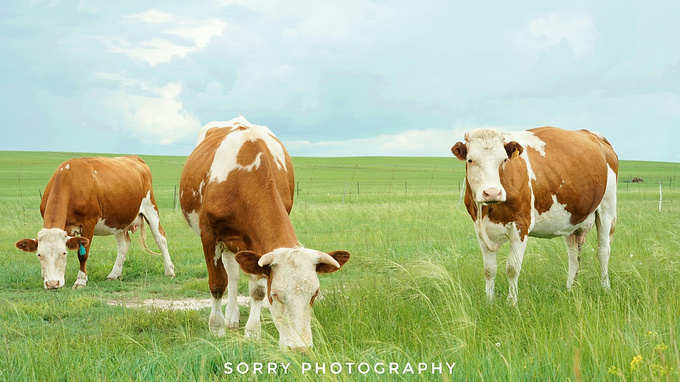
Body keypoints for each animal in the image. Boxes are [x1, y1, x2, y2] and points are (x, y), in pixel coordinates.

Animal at [15, 155, 177, 290]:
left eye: (64, 253)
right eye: (39, 255)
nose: (53, 283)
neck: (69, 180)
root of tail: (134, 158)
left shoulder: (88, 223)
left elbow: (83, 254)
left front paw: (80, 281)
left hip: (150, 207)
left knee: (160, 237)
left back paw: (169, 270)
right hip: (116, 219)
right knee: (124, 244)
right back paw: (114, 274)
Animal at [179, 117, 350, 352]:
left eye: (315, 294)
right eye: (275, 294)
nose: (300, 348)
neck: (244, 177)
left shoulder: (257, 246)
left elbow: (256, 290)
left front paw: (253, 332)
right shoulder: (209, 235)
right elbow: (217, 284)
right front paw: (216, 328)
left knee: (233, 272)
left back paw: (233, 316)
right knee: (230, 276)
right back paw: (228, 319)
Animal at [452, 127, 620, 302]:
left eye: (504, 160)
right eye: (470, 160)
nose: (492, 193)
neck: (488, 210)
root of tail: (594, 135)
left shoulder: (521, 225)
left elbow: (512, 267)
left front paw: (512, 302)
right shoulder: (479, 228)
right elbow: (489, 269)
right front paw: (489, 301)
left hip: (607, 207)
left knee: (603, 250)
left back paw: (605, 287)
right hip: (573, 218)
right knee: (573, 253)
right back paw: (569, 289)